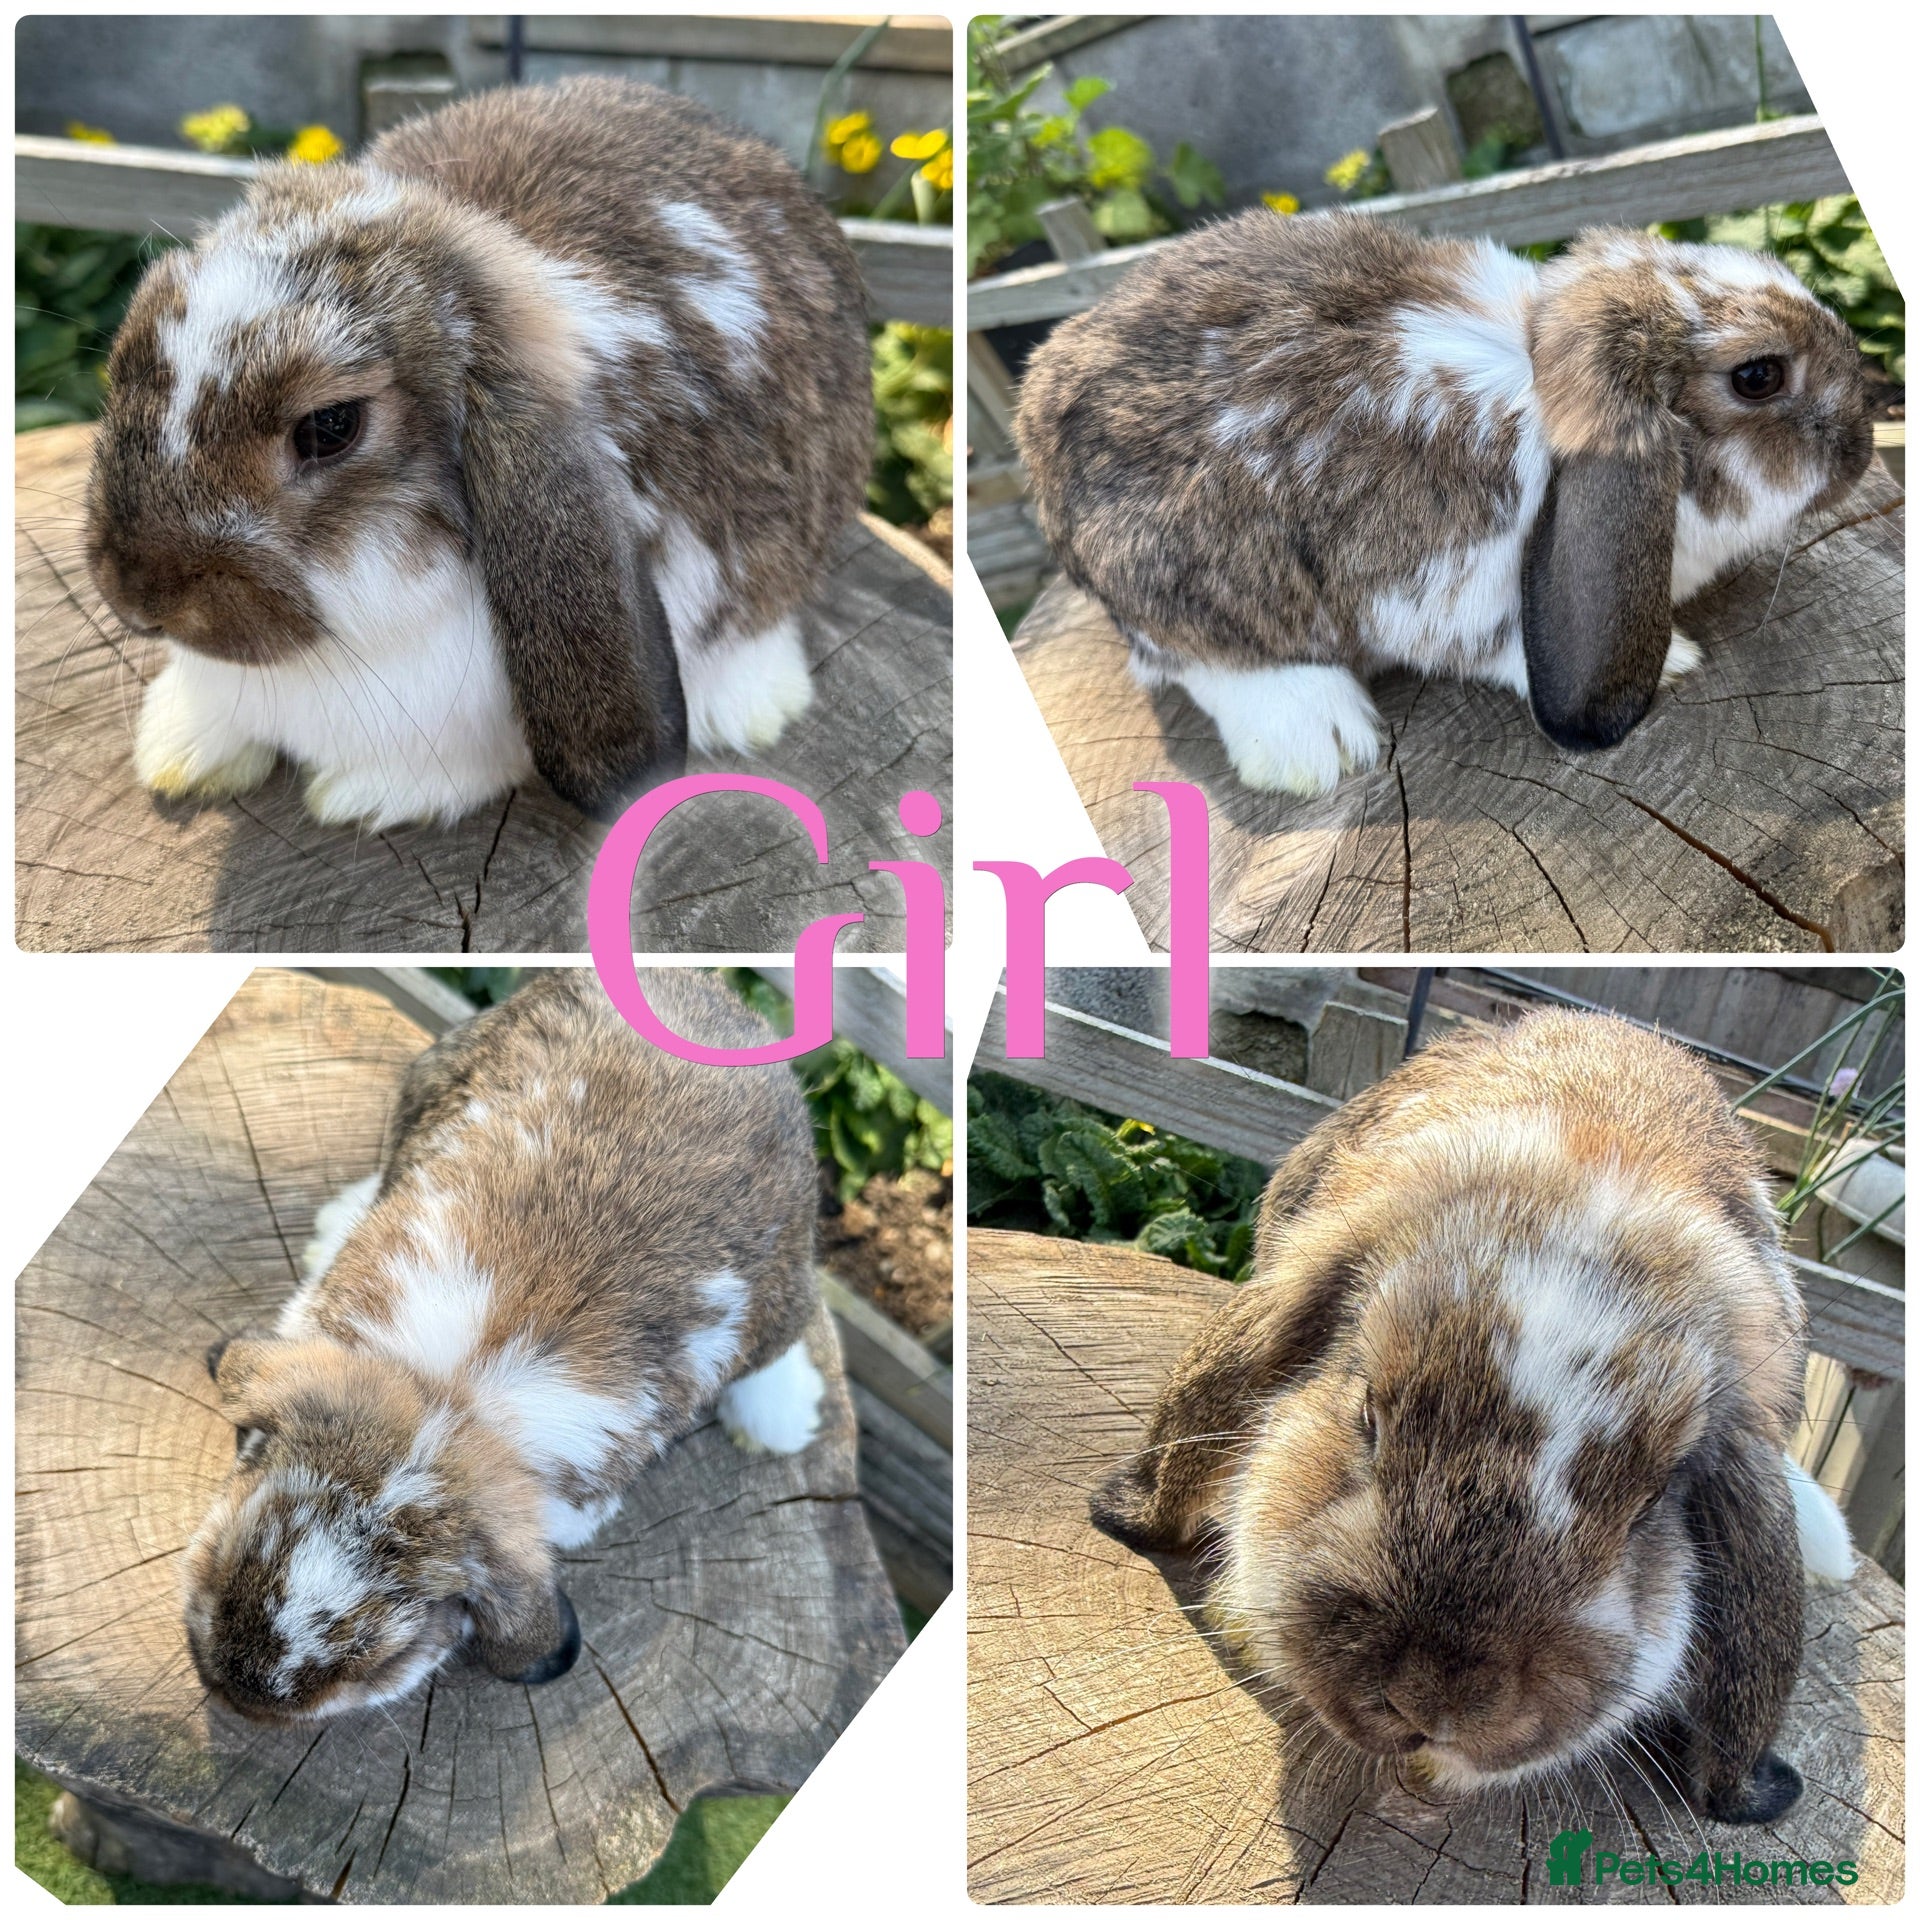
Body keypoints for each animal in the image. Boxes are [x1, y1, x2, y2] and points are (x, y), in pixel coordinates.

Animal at [183, 969, 826, 1722]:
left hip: (786, 1281)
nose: (238, 1688)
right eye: (233, 1549)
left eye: (386, 1658)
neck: (452, 1402)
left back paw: (781, 1419)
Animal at [1016, 214, 1874, 795]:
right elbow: (1497, 654)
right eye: (1758, 376)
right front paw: (1677, 661)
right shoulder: (1440, 594)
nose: (1863, 450)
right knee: (1195, 659)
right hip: (1178, 585)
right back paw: (1321, 743)